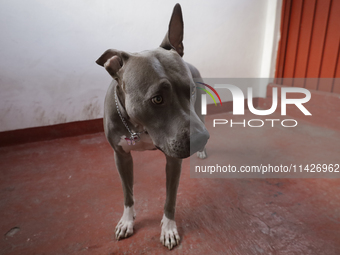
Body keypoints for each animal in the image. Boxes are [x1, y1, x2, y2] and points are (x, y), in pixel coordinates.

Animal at [94, 2, 209, 250]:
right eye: (157, 99)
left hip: (201, 113)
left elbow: (170, 198)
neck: (139, 127)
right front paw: (127, 221)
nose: (201, 139)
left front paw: (168, 228)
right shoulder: (121, 156)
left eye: (190, 90)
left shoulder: (174, 159)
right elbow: (128, 193)